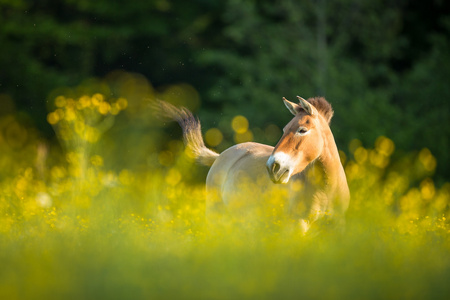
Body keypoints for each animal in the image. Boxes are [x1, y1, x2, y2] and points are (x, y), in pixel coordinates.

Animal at [156, 96, 350, 232]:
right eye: (284, 129)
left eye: (302, 130)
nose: (273, 167)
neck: (326, 189)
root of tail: (220, 156)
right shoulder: (298, 228)